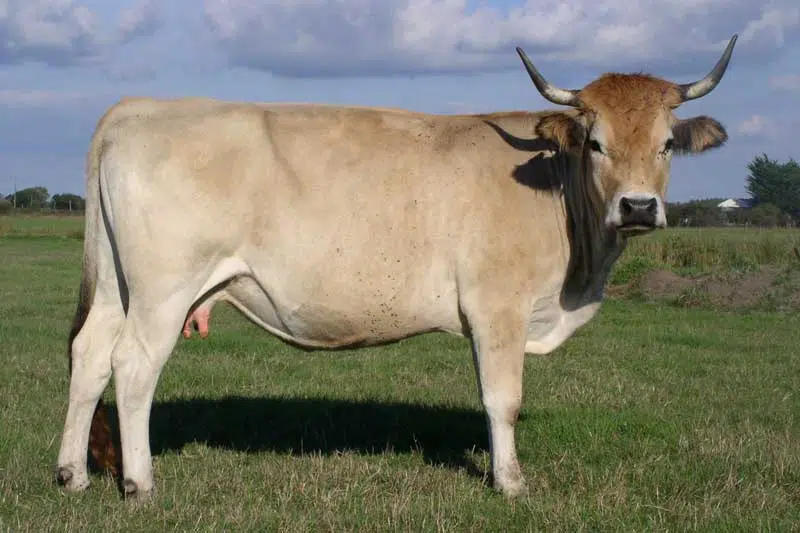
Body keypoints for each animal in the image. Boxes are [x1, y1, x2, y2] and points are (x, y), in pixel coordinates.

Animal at [55, 35, 738, 501]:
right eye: (596, 143)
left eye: (667, 144)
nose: (639, 206)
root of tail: (139, 107)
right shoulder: (498, 306)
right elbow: (504, 398)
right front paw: (511, 483)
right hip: (163, 290)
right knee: (132, 366)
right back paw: (140, 482)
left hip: (117, 285)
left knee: (89, 357)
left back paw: (73, 474)